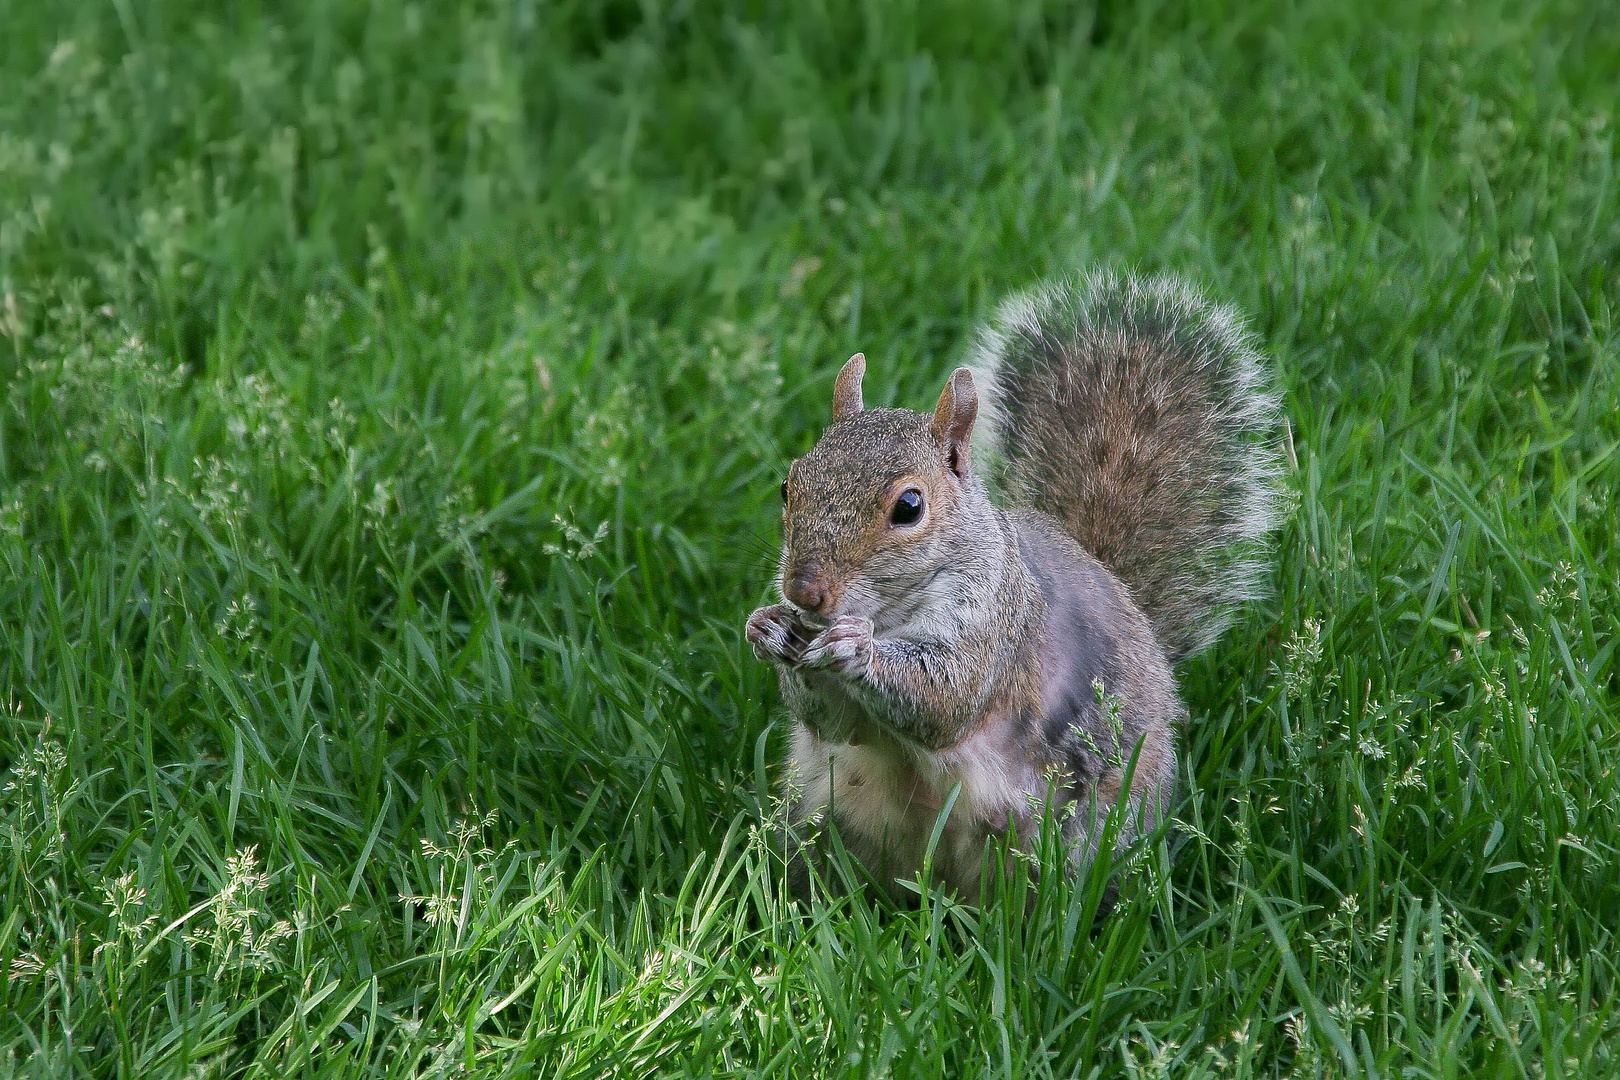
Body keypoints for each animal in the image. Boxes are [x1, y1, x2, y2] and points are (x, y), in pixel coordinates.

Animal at [748, 270, 1289, 906]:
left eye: (909, 506)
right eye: (789, 485)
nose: (803, 592)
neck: (891, 611)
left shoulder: (998, 625)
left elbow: (946, 701)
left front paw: (857, 648)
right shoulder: (844, 719)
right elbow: (835, 723)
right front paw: (767, 628)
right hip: (826, 813)